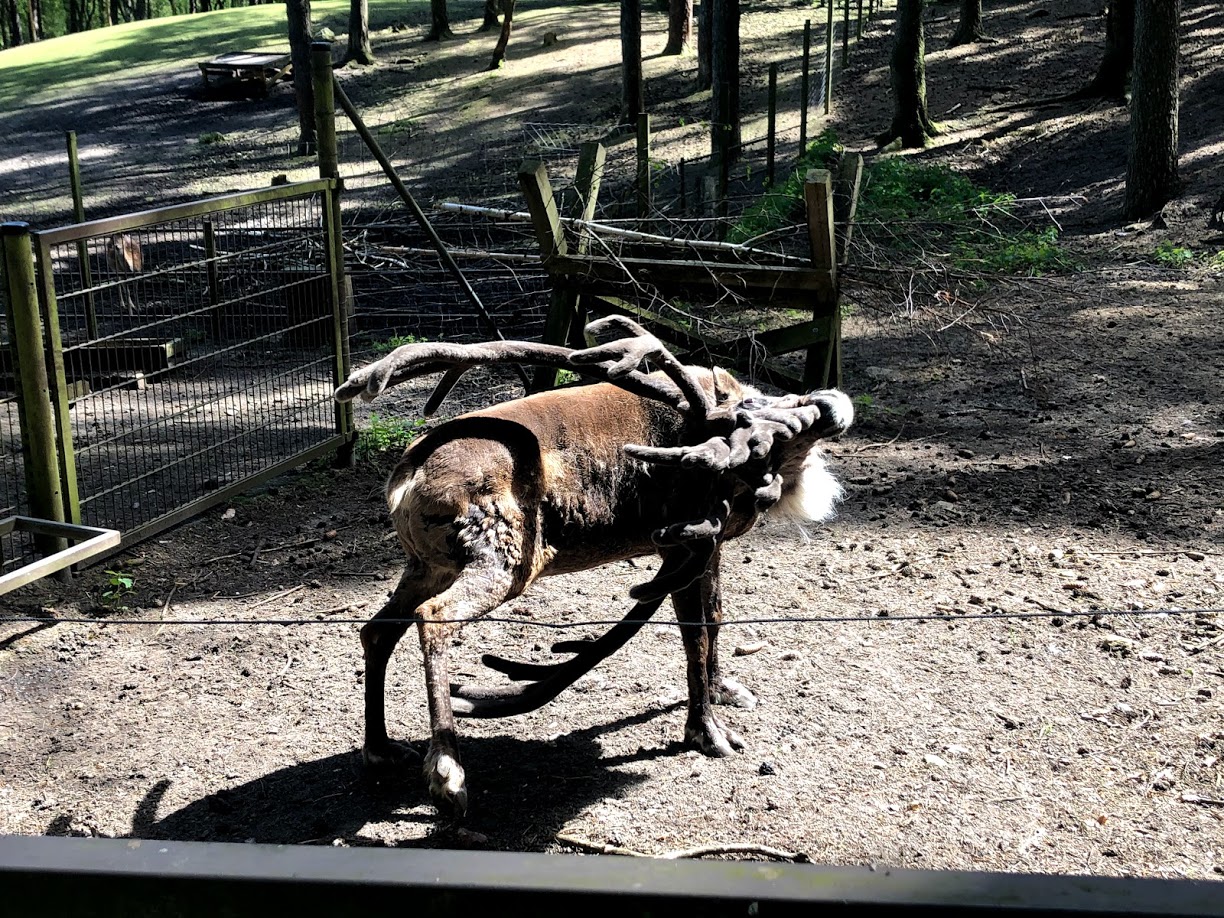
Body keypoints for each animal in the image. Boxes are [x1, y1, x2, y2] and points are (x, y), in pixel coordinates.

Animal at [335, 316, 853, 817]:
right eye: (757, 407)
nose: (829, 402)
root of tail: (405, 479)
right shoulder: (683, 545)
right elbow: (695, 636)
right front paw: (707, 732)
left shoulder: (711, 547)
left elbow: (716, 618)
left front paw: (724, 688)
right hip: (504, 562)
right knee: (433, 617)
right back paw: (447, 772)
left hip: (427, 565)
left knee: (377, 630)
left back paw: (380, 748)